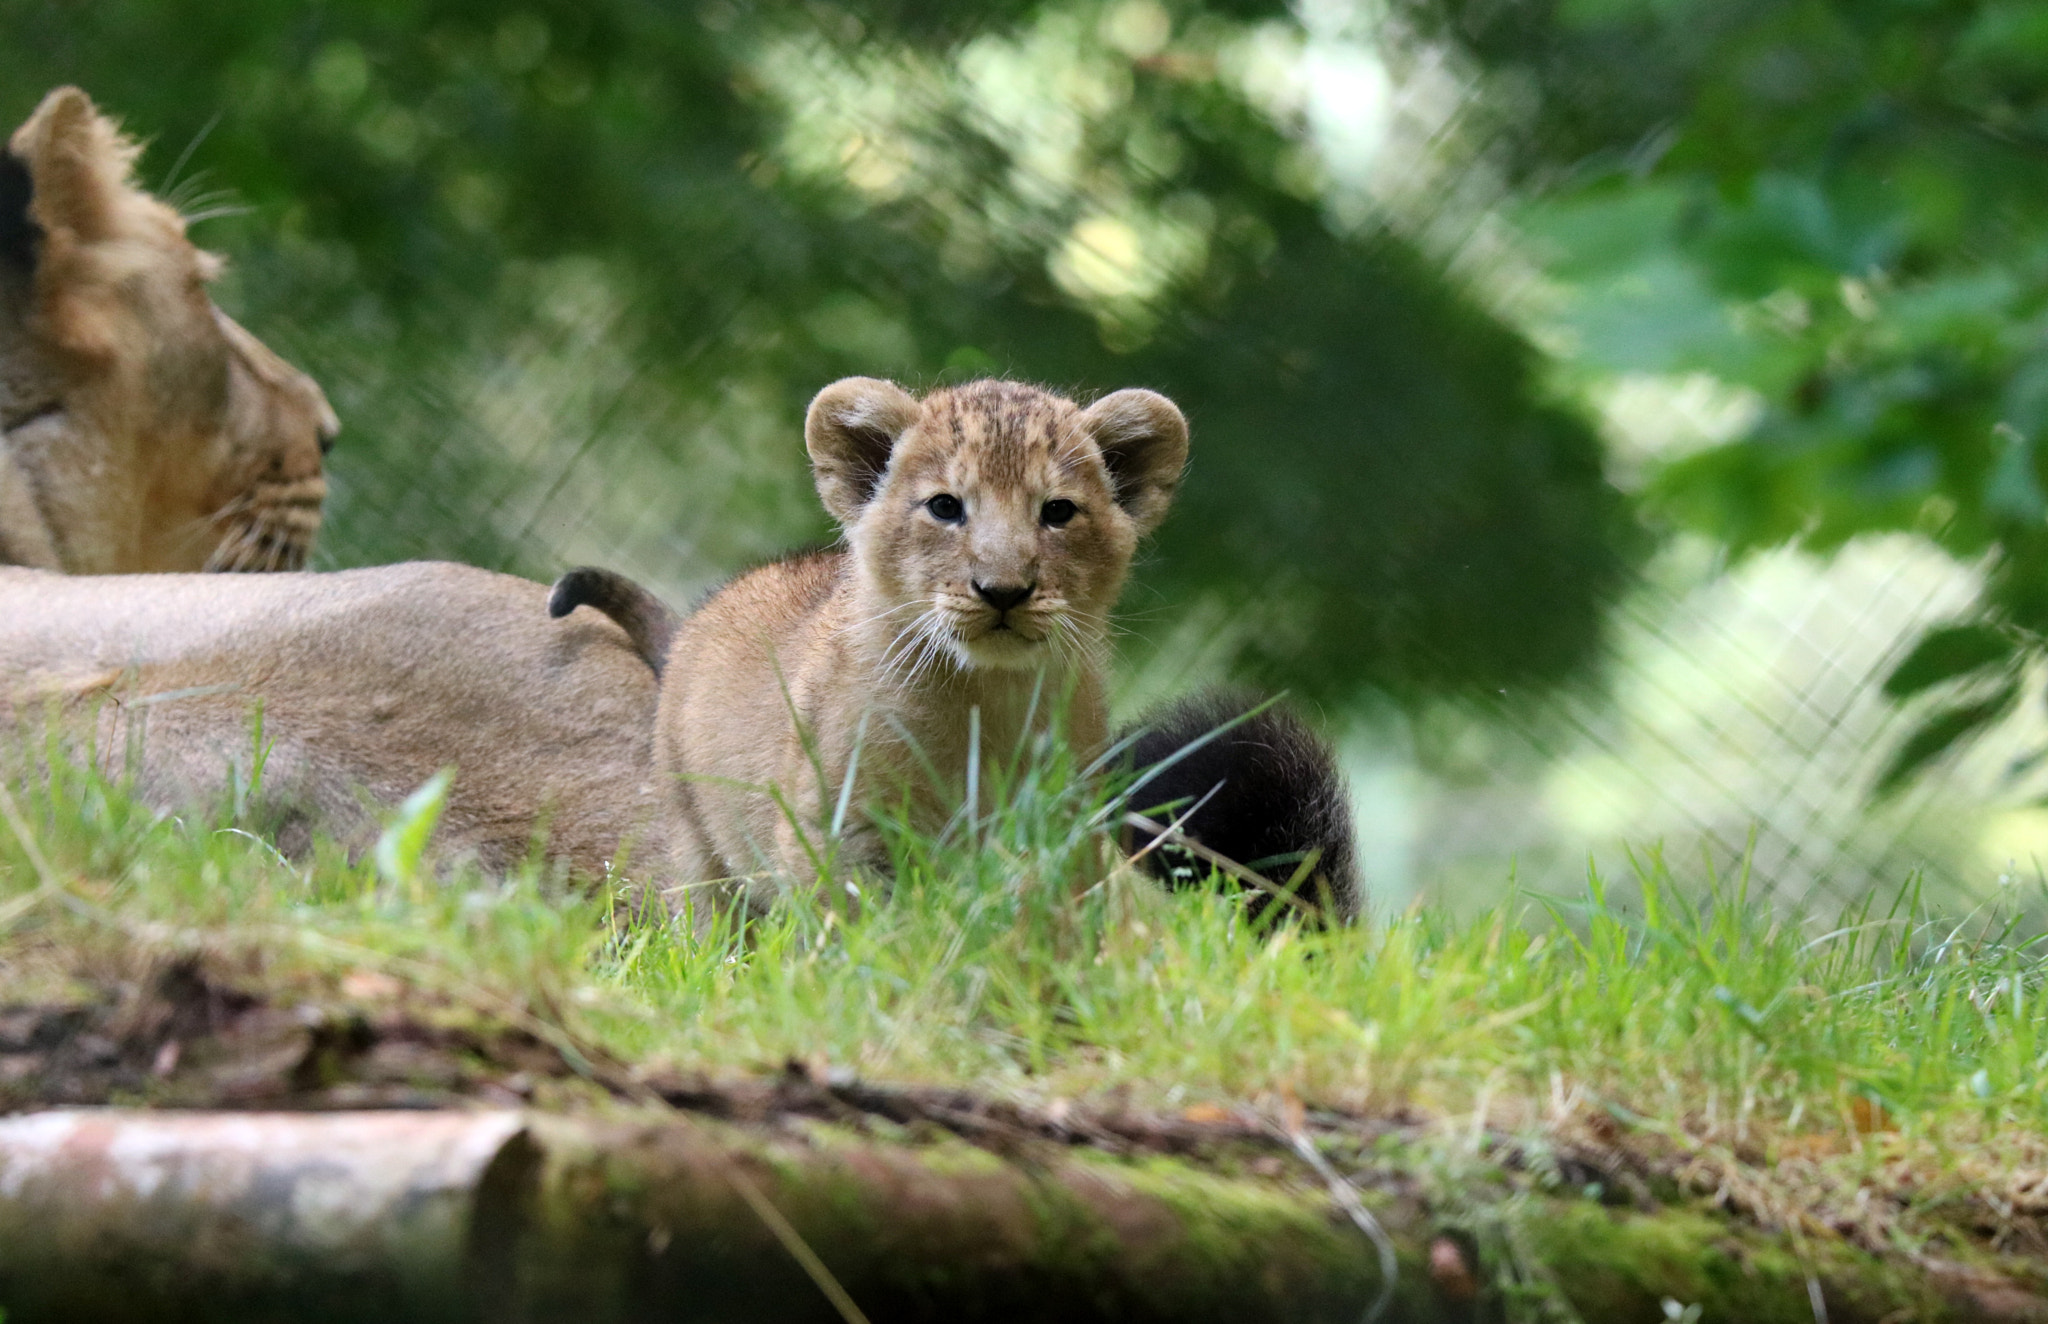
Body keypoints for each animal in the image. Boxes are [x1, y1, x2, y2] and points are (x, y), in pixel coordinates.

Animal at [550, 376, 1189, 911]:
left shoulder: (1065, 824)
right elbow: (865, 931)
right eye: (945, 506)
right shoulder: (838, 827)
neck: (986, 694)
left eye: (1058, 511)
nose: (1003, 591)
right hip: (698, 849)